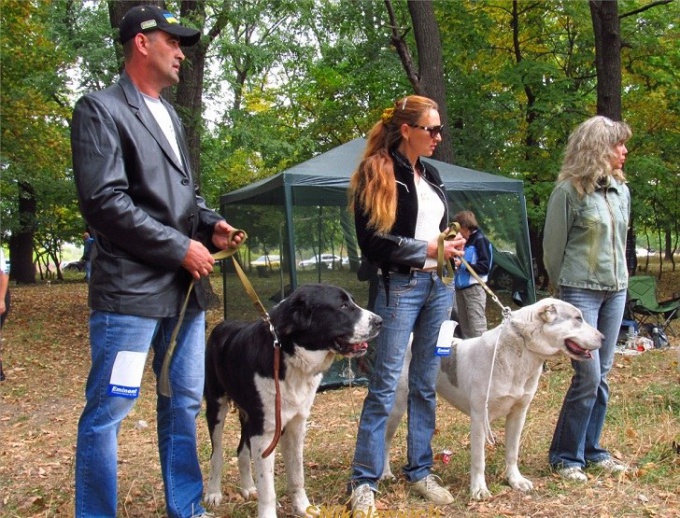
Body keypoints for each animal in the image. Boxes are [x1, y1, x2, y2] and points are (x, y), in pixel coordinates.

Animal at [202, 284, 382, 518]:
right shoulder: (265, 431)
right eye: (342, 306)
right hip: (216, 406)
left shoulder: (296, 424)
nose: (379, 321)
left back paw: (248, 488)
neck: (288, 355)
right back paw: (213, 492)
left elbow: (297, 474)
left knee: (242, 450)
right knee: (216, 453)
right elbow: (267, 488)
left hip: (249, 416)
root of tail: (222, 324)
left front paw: (303, 508)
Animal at [386, 298, 604, 502]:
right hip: (396, 408)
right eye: (578, 318)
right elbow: (478, 460)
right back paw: (386, 474)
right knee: (385, 441)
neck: (520, 352)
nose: (603, 337)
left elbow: (512, 452)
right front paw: (479, 490)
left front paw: (515, 480)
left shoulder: (519, 413)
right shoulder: (479, 418)